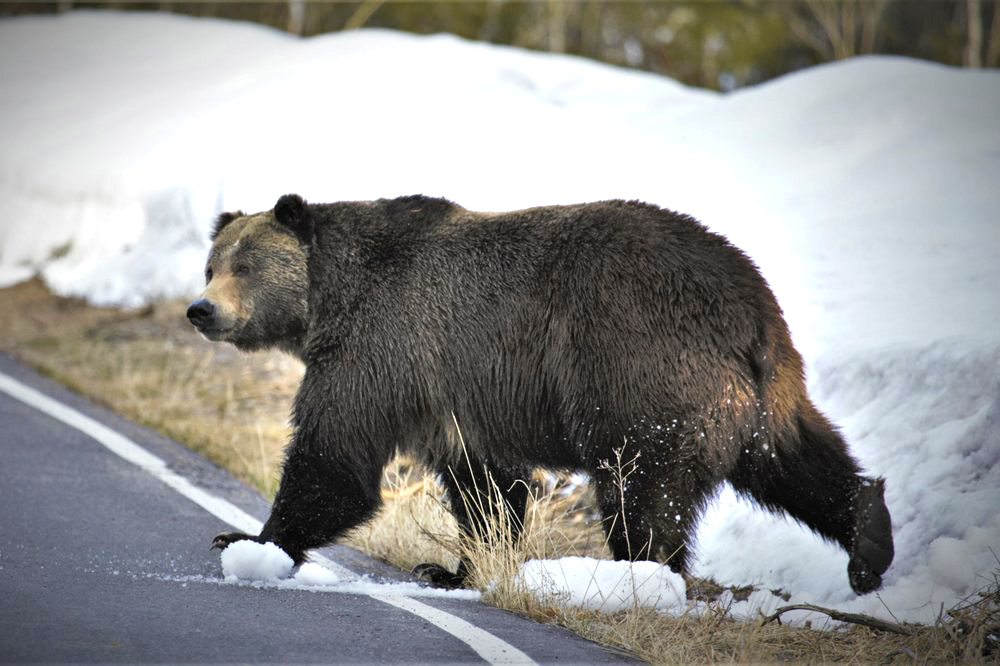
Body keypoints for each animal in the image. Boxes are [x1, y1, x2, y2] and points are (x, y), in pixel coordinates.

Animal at [191, 192, 896, 592]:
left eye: (245, 266)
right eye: (211, 264)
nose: (201, 309)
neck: (329, 303)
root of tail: (751, 305)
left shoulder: (382, 350)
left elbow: (334, 458)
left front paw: (249, 540)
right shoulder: (458, 397)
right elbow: (487, 489)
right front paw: (450, 569)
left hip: (640, 371)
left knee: (642, 492)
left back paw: (641, 575)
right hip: (765, 393)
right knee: (796, 460)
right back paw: (870, 538)